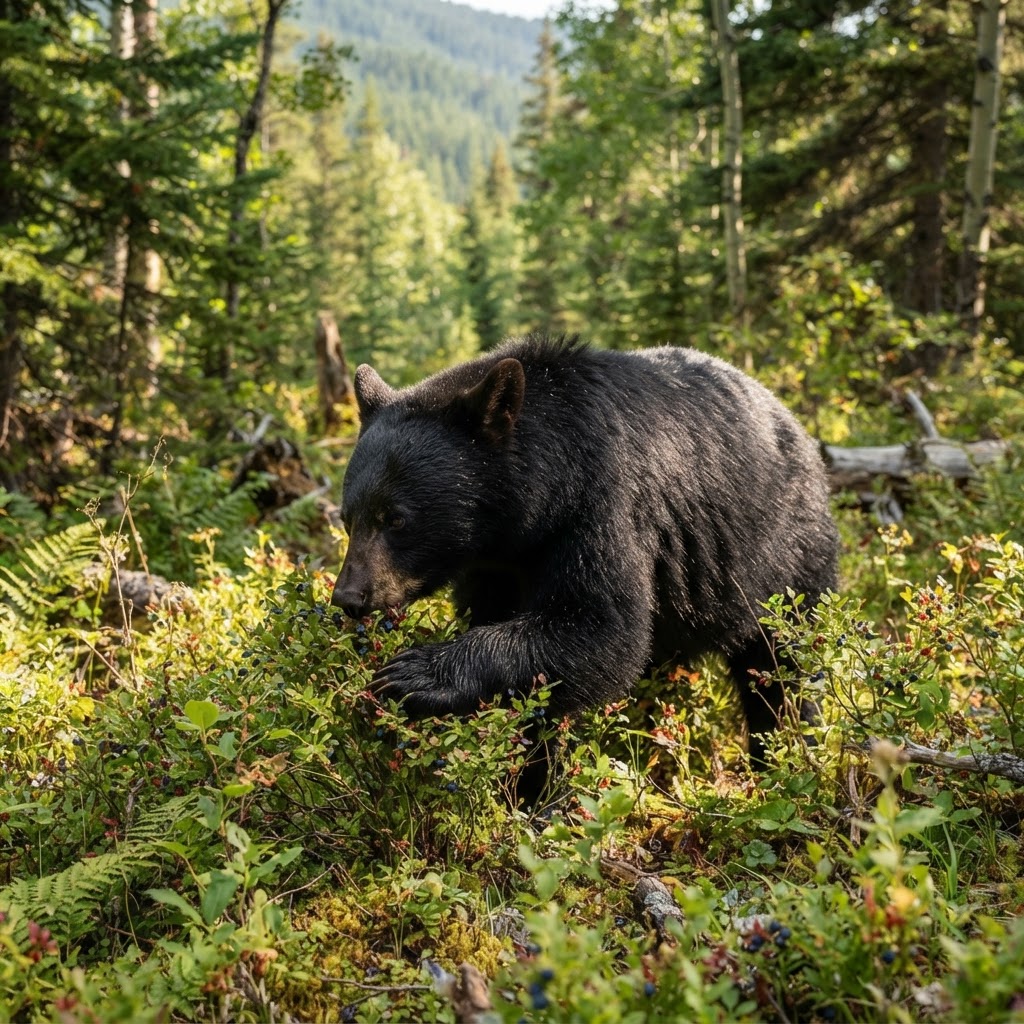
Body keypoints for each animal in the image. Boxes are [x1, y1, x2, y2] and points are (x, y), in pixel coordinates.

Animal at [331, 335, 840, 768]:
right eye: (347, 517)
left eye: (396, 519)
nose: (349, 597)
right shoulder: (494, 565)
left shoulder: (600, 503)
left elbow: (601, 627)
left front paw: (412, 675)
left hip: (786, 554)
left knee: (781, 668)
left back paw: (784, 755)